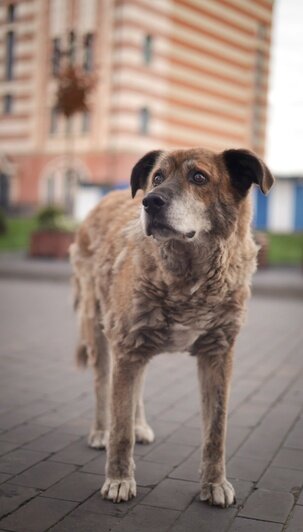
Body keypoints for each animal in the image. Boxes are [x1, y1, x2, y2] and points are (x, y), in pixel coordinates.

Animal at [70, 145, 274, 508]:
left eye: (199, 177)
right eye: (157, 177)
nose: (149, 202)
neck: (189, 276)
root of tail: (105, 198)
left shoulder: (218, 354)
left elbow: (216, 432)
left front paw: (215, 484)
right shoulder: (126, 344)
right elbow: (119, 428)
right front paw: (119, 479)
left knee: (135, 386)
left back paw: (138, 426)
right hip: (102, 332)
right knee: (103, 385)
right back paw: (100, 431)